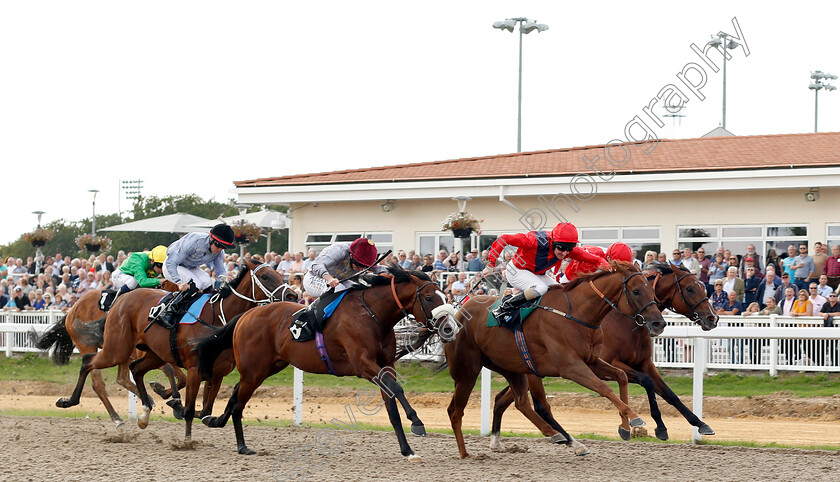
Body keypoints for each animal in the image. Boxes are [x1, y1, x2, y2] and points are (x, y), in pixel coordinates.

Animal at [35, 282, 186, 426]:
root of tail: (72, 309)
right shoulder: (146, 353)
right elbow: (170, 370)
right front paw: (174, 402)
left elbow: (182, 378)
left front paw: (168, 396)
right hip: (91, 346)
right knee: (98, 383)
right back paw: (116, 418)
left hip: (121, 352)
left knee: (121, 378)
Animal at [54, 260, 294, 440]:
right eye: (265, 276)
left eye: (278, 273)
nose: (292, 295)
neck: (217, 318)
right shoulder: (195, 368)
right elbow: (187, 401)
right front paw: (185, 435)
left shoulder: (216, 373)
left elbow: (204, 411)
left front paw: (172, 402)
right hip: (116, 349)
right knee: (90, 365)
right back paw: (74, 403)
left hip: (150, 353)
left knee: (132, 371)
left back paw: (144, 412)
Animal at [192, 268, 460, 460]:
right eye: (429, 297)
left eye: (444, 296)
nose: (450, 328)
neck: (371, 315)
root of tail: (246, 315)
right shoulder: (364, 365)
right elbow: (397, 390)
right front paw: (417, 423)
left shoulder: (386, 366)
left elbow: (392, 407)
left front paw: (407, 450)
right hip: (254, 371)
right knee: (239, 403)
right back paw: (242, 446)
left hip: (266, 368)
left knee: (236, 395)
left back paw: (216, 421)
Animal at [442, 262, 668, 458]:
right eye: (636, 291)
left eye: (652, 291)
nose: (659, 323)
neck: (575, 314)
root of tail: (458, 311)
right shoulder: (571, 367)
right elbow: (604, 389)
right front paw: (635, 418)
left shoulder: (592, 361)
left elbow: (621, 377)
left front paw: (625, 426)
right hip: (468, 372)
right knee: (456, 410)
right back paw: (465, 453)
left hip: (514, 368)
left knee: (522, 403)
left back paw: (563, 438)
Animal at [492, 262, 720, 450]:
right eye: (690, 288)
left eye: (703, 286)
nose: (713, 318)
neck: (625, 321)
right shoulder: (604, 364)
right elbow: (647, 382)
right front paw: (658, 427)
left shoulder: (644, 363)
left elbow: (669, 393)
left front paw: (700, 424)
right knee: (525, 402)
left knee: (504, 399)